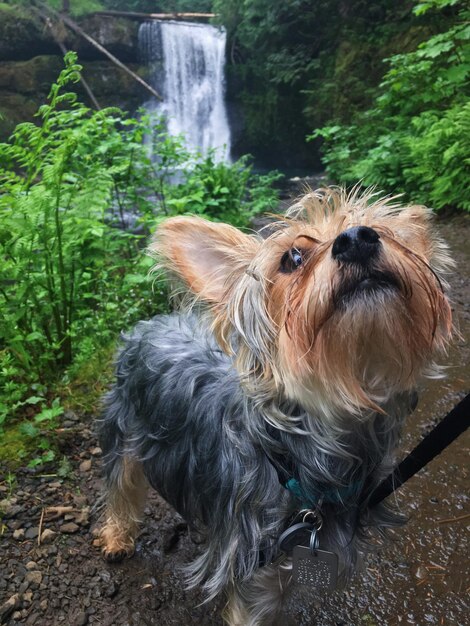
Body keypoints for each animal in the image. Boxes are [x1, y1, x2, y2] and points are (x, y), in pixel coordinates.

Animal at [97, 186, 454, 624]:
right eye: (292, 258)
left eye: (383, 230)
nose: (357, 239)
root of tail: (153, 321)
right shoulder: (256, 569)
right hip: (125, 426)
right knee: (121, 484)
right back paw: (117, 537)